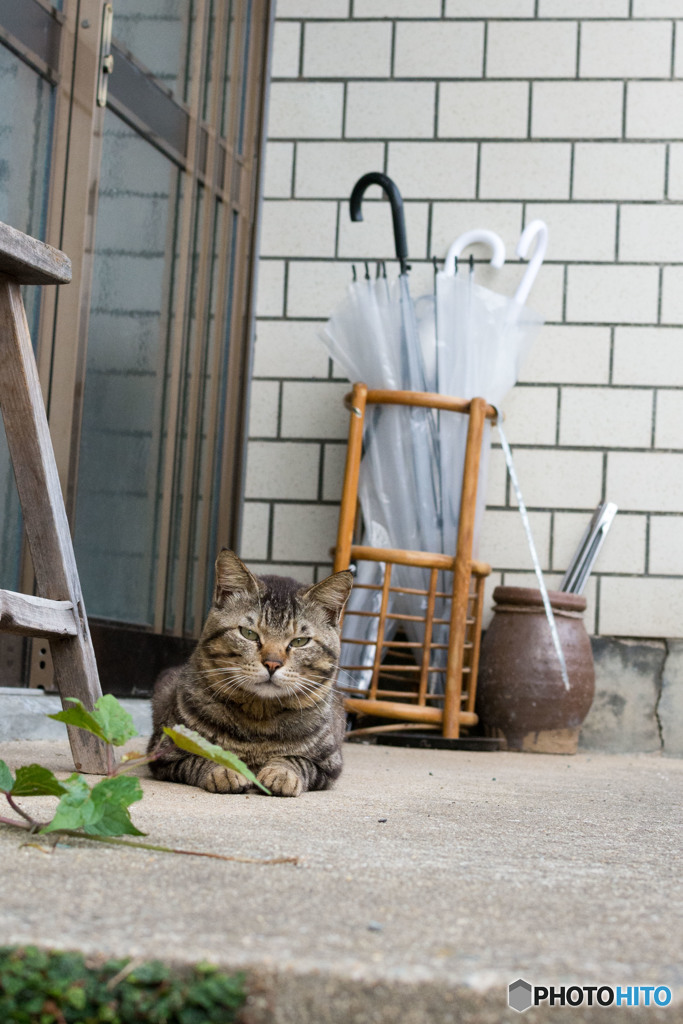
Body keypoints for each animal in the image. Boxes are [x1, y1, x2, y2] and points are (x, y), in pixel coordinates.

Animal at [148, 552, 352, 798]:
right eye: (248, 633)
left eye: (299, 641)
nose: (272, 663)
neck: (259, 716)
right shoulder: (164, 753)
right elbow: (201, 757)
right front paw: (225, 770)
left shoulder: (329, 764)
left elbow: (296, 760)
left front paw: (281, 773)